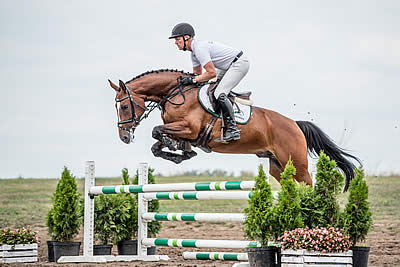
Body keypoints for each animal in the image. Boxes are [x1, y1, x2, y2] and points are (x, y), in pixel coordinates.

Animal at [108, 69, 360, 191]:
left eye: (124, 106)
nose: (124, 136)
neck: (176, 94)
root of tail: (294, 124)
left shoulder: (188, 129)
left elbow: (156, 131)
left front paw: (177, 150)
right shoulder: (178, 129)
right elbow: (157, 142)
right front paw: (179, 153)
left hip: (297, 164)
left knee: (308, 184)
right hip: (277, 166)